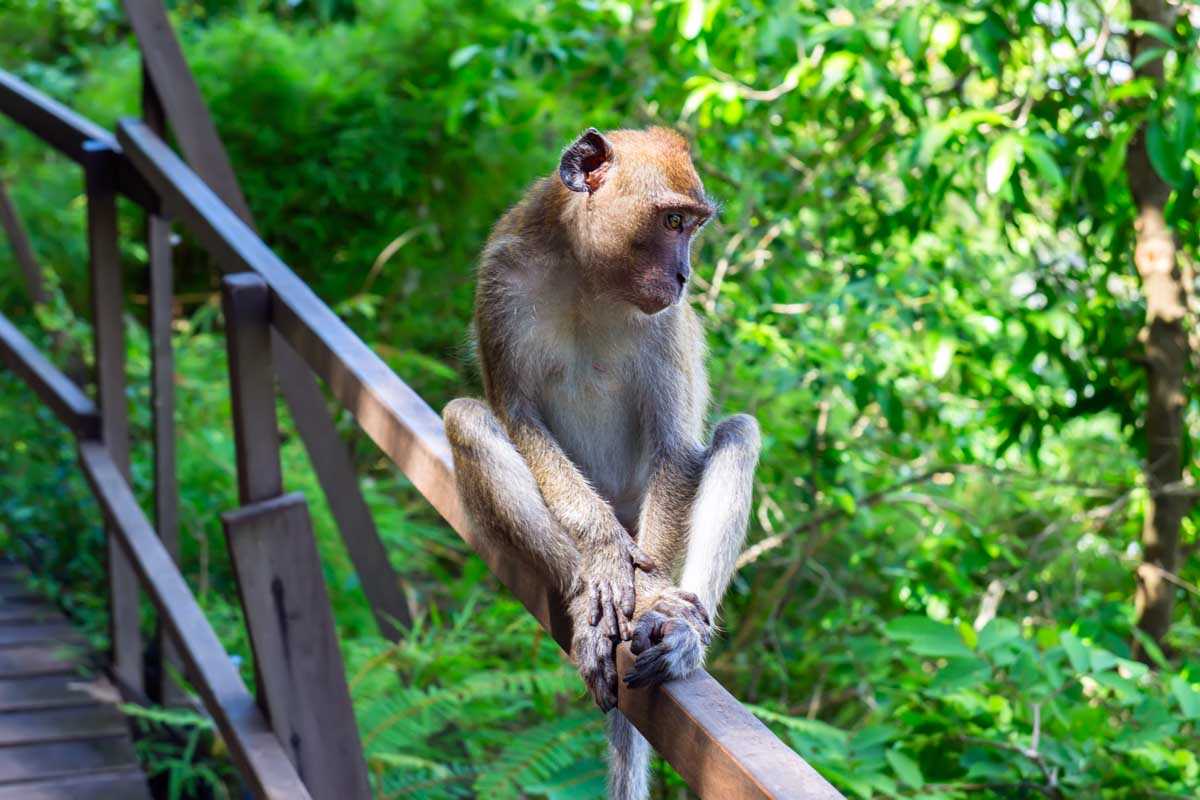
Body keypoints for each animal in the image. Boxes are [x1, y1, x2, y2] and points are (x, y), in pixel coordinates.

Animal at [441, 125, 758, 800]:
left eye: (692, 226)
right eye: (672, 221)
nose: (685, 274)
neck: (590, 276)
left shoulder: (666, 324)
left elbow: (673, 447)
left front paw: (658, 597)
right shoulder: (500, 279)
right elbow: (517, 416)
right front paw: (606, 556)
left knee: (740, 434)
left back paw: (679, 629)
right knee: (467, 417)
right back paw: (587, 590)